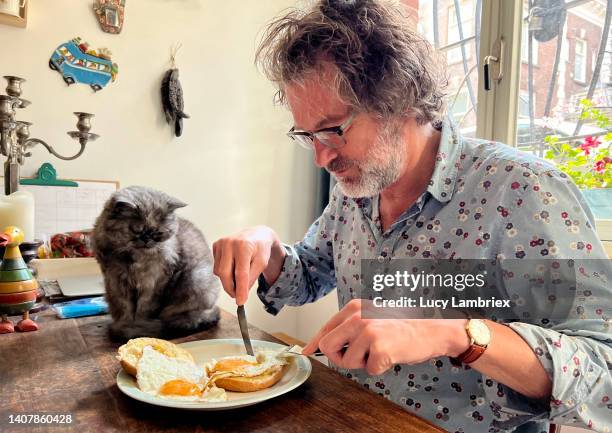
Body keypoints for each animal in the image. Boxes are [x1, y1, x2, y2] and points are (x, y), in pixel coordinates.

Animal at [92, 184, 221, 340]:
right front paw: (125, 323)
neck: (134, 258)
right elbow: (125, 308)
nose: (147, 239)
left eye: (158, 233)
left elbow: (143, 309)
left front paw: (137, 326)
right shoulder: (116, 281)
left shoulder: (153, 283)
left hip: (196, 279)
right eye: (136, 230)